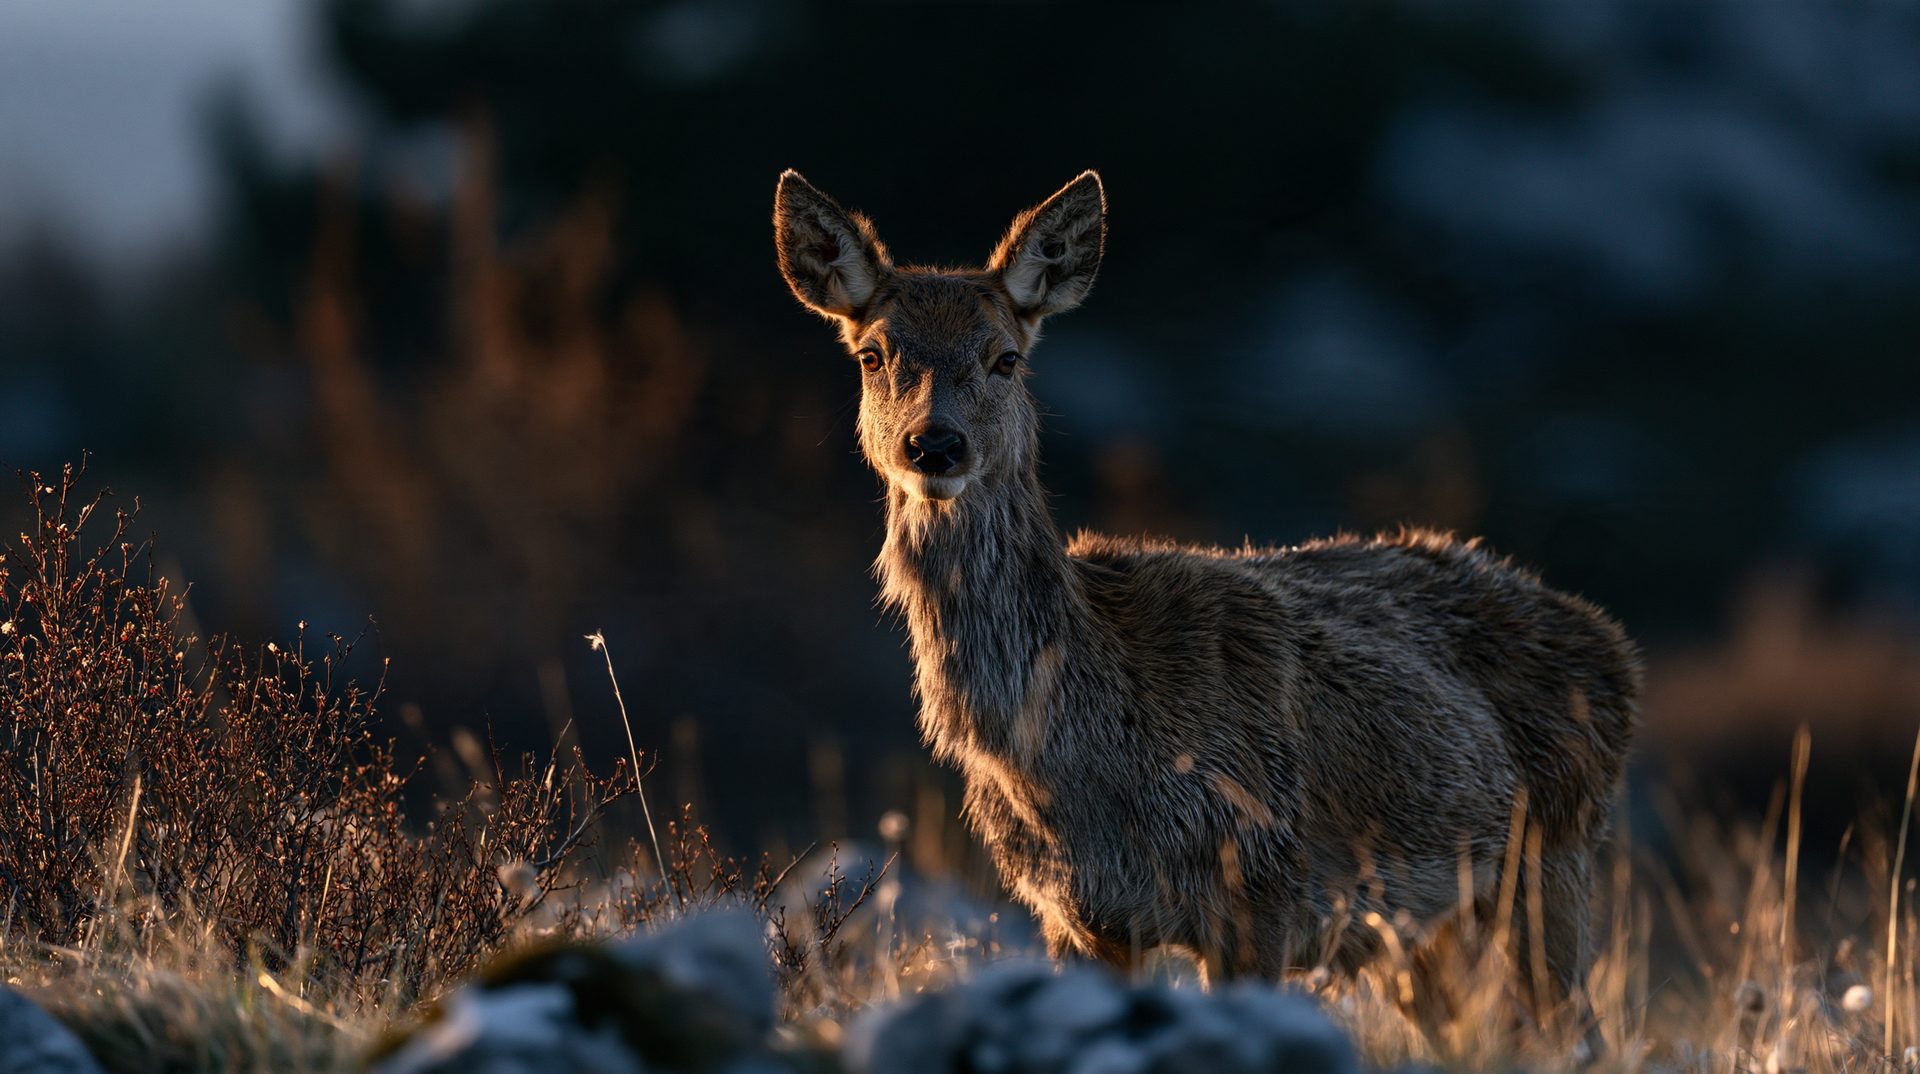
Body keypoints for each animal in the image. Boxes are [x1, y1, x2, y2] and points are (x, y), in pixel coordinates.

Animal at [772, 169, 1639, 1047]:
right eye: (874, 355)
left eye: (1006, 358)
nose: (934, 446)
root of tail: (1609, 644)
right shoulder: (1073, 912)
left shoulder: (1263, 885)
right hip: (1423, 933)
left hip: (1552, 854)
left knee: (1577, 1036)